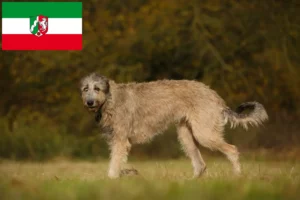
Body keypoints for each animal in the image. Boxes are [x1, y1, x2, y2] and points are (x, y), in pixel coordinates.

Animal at [79, 73, 268, 178]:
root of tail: (215, 96)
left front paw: (110, 180)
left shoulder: (121, 140)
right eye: (85, 89)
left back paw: (237, 176)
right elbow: (118, 162)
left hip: (204, 134)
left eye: (97, 88)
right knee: (200, 164)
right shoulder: (117, 141)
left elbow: (114, 164)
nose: (89, 103)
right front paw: (127, 174)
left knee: (232, 150)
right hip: (186, 136)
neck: (110, 99)